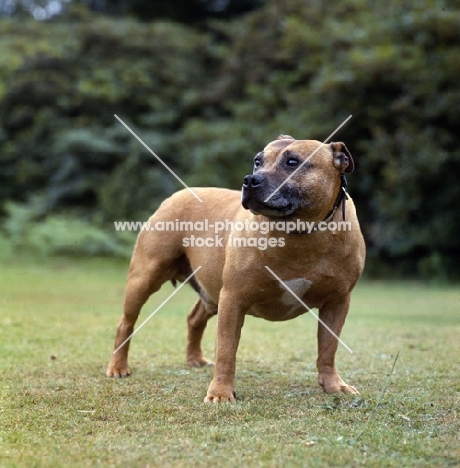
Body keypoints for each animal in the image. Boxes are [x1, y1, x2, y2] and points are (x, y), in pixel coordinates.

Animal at [106, 134, 364, 402]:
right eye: (257, 161)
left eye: (293, 162)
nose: (250, 179)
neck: (299, 233)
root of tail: (177, 195)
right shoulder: (233, 298)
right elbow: (227, 350)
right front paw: (220, 393)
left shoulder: (337, 302)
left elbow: (328, 348)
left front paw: (334, 384)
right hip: (144, 278)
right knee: (126, 323)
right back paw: (118, 367)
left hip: (210, 291)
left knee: (195, 318)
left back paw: (195, 360)